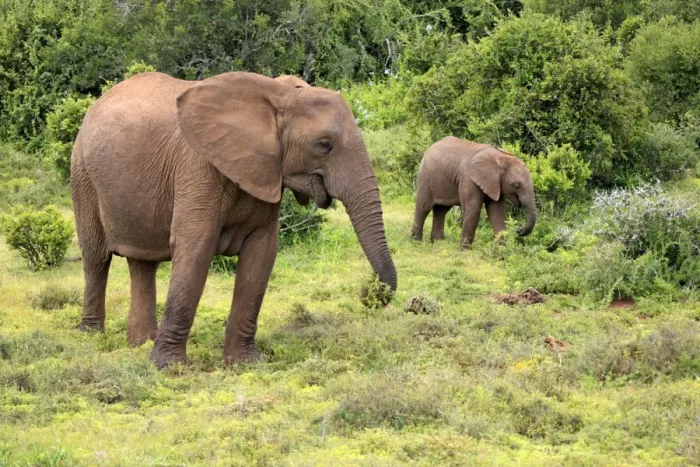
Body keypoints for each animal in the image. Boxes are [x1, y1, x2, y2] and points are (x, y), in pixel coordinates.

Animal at [71, 71, 397, 368]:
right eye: (324, 145)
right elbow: (195, 250)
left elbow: (261, 257)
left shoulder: (267, 172)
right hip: (82, 172)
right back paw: (91, 337)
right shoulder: (198, 167)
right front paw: (170, 368)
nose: (369, 293)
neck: (276, 96)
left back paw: (140, 343)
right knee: (96, 257)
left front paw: (245, 364)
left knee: (143, 264)